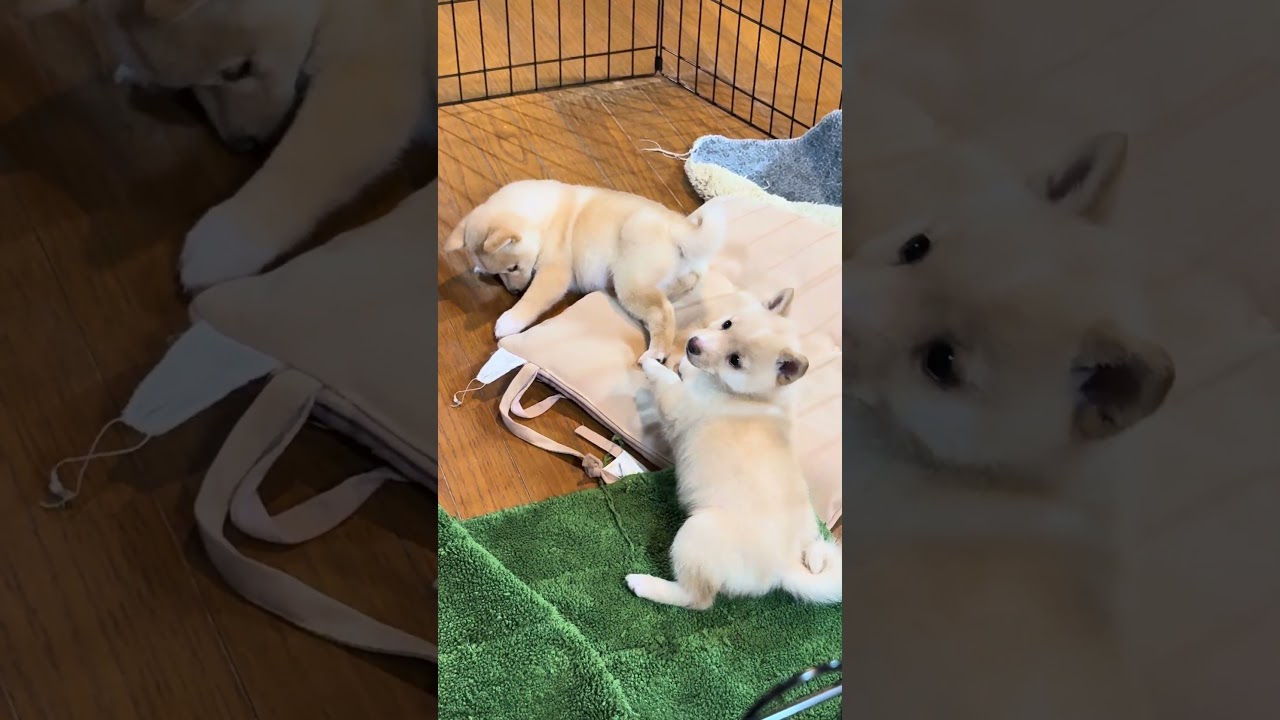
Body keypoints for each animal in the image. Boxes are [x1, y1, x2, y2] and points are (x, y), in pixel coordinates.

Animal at [13, 0, 433, 292]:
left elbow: (302, 161)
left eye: (236, 70)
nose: (241, 144)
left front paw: (227, 238)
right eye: (189, 86)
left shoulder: (373, 66)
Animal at [443, 179, 725, 364]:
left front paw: (509, 320)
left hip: (630, 282)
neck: (543, 219)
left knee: (662, 312)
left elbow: (533, 300)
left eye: (512, 267)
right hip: (670, 276)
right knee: (682, 285)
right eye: (500, 273)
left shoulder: (554, 273)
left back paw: (656, 353)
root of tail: (678, 229)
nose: (514, 291)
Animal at [626, 288, 841, 610]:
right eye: (726, 324)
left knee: (697, 598)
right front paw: (685, 364)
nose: (693, 343)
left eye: (735, 361)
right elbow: (689, 371)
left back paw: (645, 584)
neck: (752, 395)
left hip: (696, 533)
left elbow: (666, 380)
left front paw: (655, 363)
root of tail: (786, 565)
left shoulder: (678, 403)